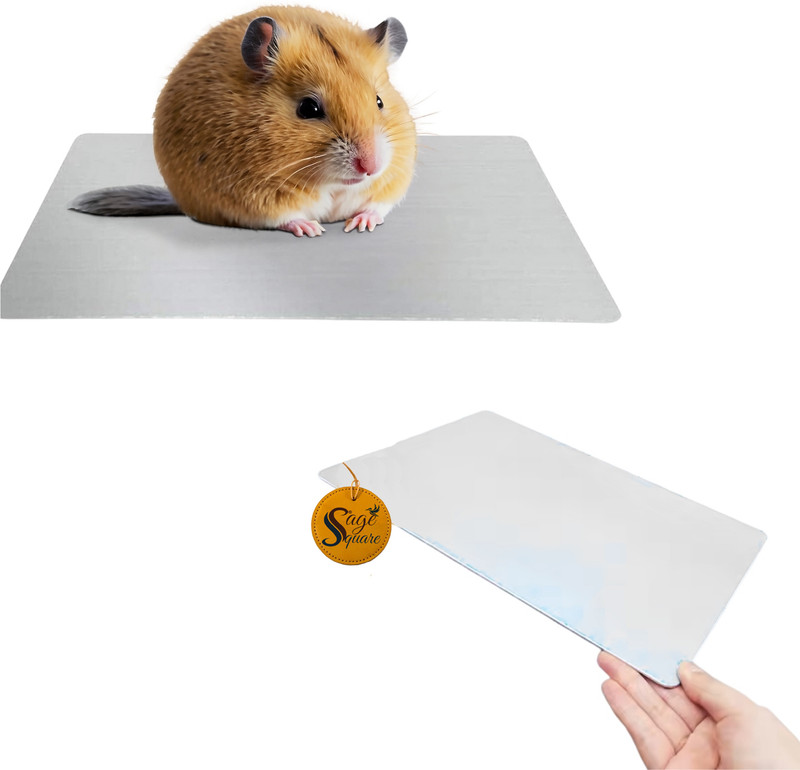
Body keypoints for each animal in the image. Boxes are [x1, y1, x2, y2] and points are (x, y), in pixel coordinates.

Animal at [69, 6, 416, 236]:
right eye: (308, 108)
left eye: (379, 101)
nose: (371, 167)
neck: (329, 183)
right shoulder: (253, 197)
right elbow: (284, 216)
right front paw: (312, 228)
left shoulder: (394, 178)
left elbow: (378, 204)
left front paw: (360, 224)